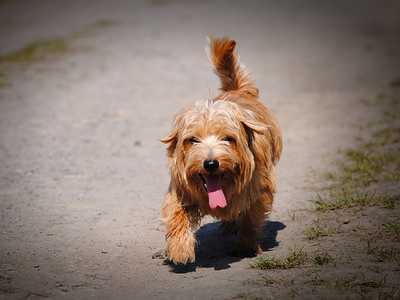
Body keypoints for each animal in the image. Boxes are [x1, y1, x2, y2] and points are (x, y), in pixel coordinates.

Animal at [159, 36, 282, 264]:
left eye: (228, 138)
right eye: (192, 140)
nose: (210, 163)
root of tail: (237, 90)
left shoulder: (260, 191)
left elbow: (251, 218)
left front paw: (246, 245)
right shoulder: (181, 190)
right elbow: (176, 215)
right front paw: (180, 249)